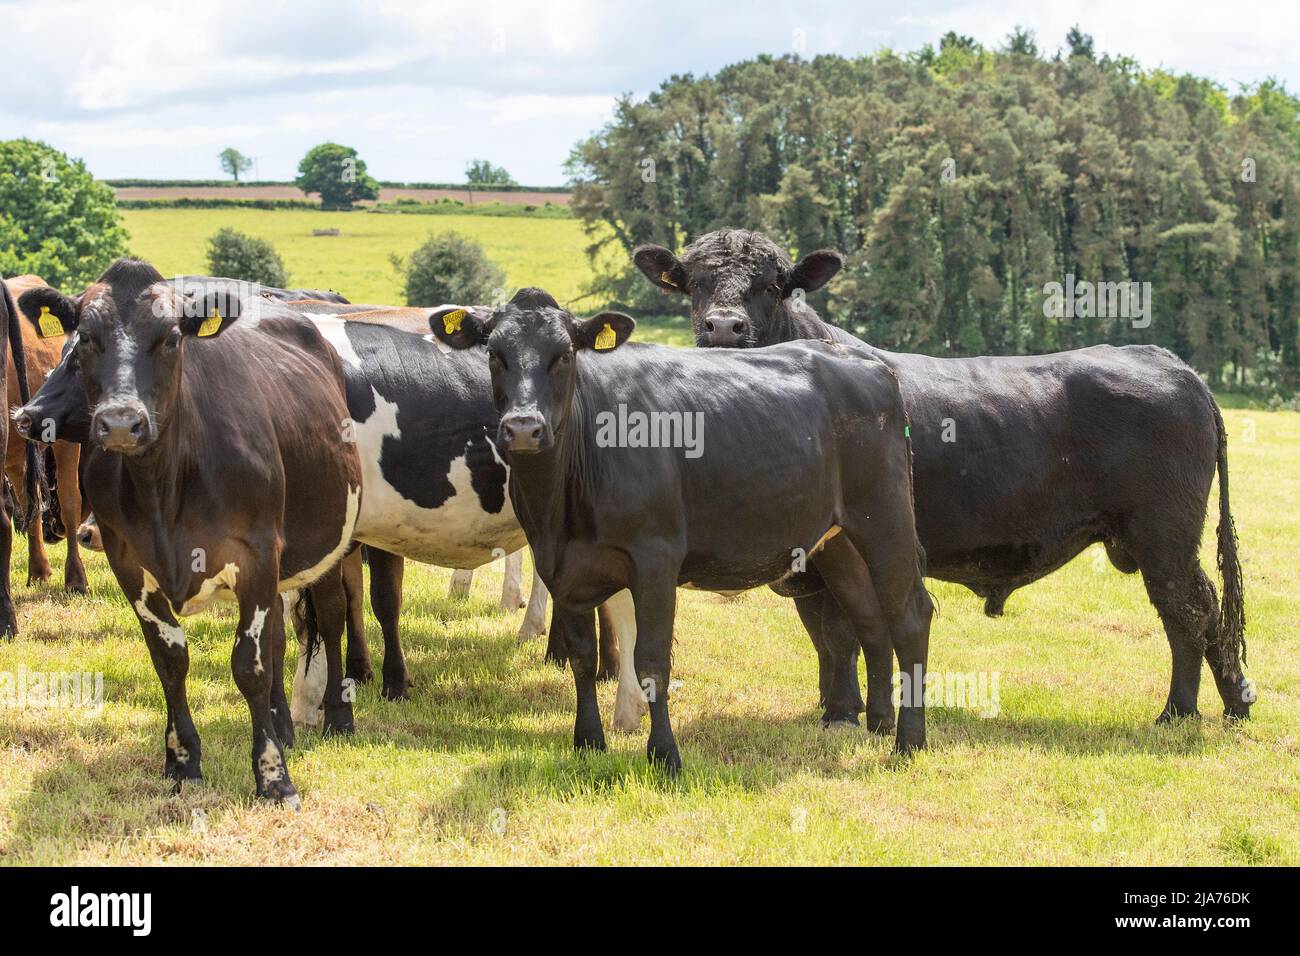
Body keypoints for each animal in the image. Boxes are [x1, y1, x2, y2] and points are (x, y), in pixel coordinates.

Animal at [19, 257, 366, 806]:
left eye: (170, 339)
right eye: (85, 338)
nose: (122, 423)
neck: (165, 484)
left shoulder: (256, 552)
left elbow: (249, 665)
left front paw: (273, 776)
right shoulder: (128, 561)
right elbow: (171, 661)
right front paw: (183, 763)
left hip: (333, 542)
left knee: (331, 618)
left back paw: (336, 716)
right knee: (278, 636)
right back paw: (284, 725)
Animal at [431, 286, 930, 770]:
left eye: (565, 354)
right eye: (495, 353)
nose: (523, 428)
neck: (563, 502)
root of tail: (867, 362)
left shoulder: (655, 559)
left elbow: (652, 663)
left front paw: (665, 755)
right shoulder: (560, 566)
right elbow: (582, 658)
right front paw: (588, 742)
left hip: (885, 517)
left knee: (909, 615)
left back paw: (909, 742)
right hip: (838, 538)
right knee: (870, 615)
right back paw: (879, 724)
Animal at [634, 227, 1253, 728]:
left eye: (772, 285)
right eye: (693, 284)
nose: (723, 327)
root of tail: (1168, 361)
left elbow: (840, 634)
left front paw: (844, 715)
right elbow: (827, 637)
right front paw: (836, 708)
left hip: (1163, 535)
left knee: (1188, 610)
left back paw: (1179, 712)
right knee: (1207, 612)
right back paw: (1232, 704)